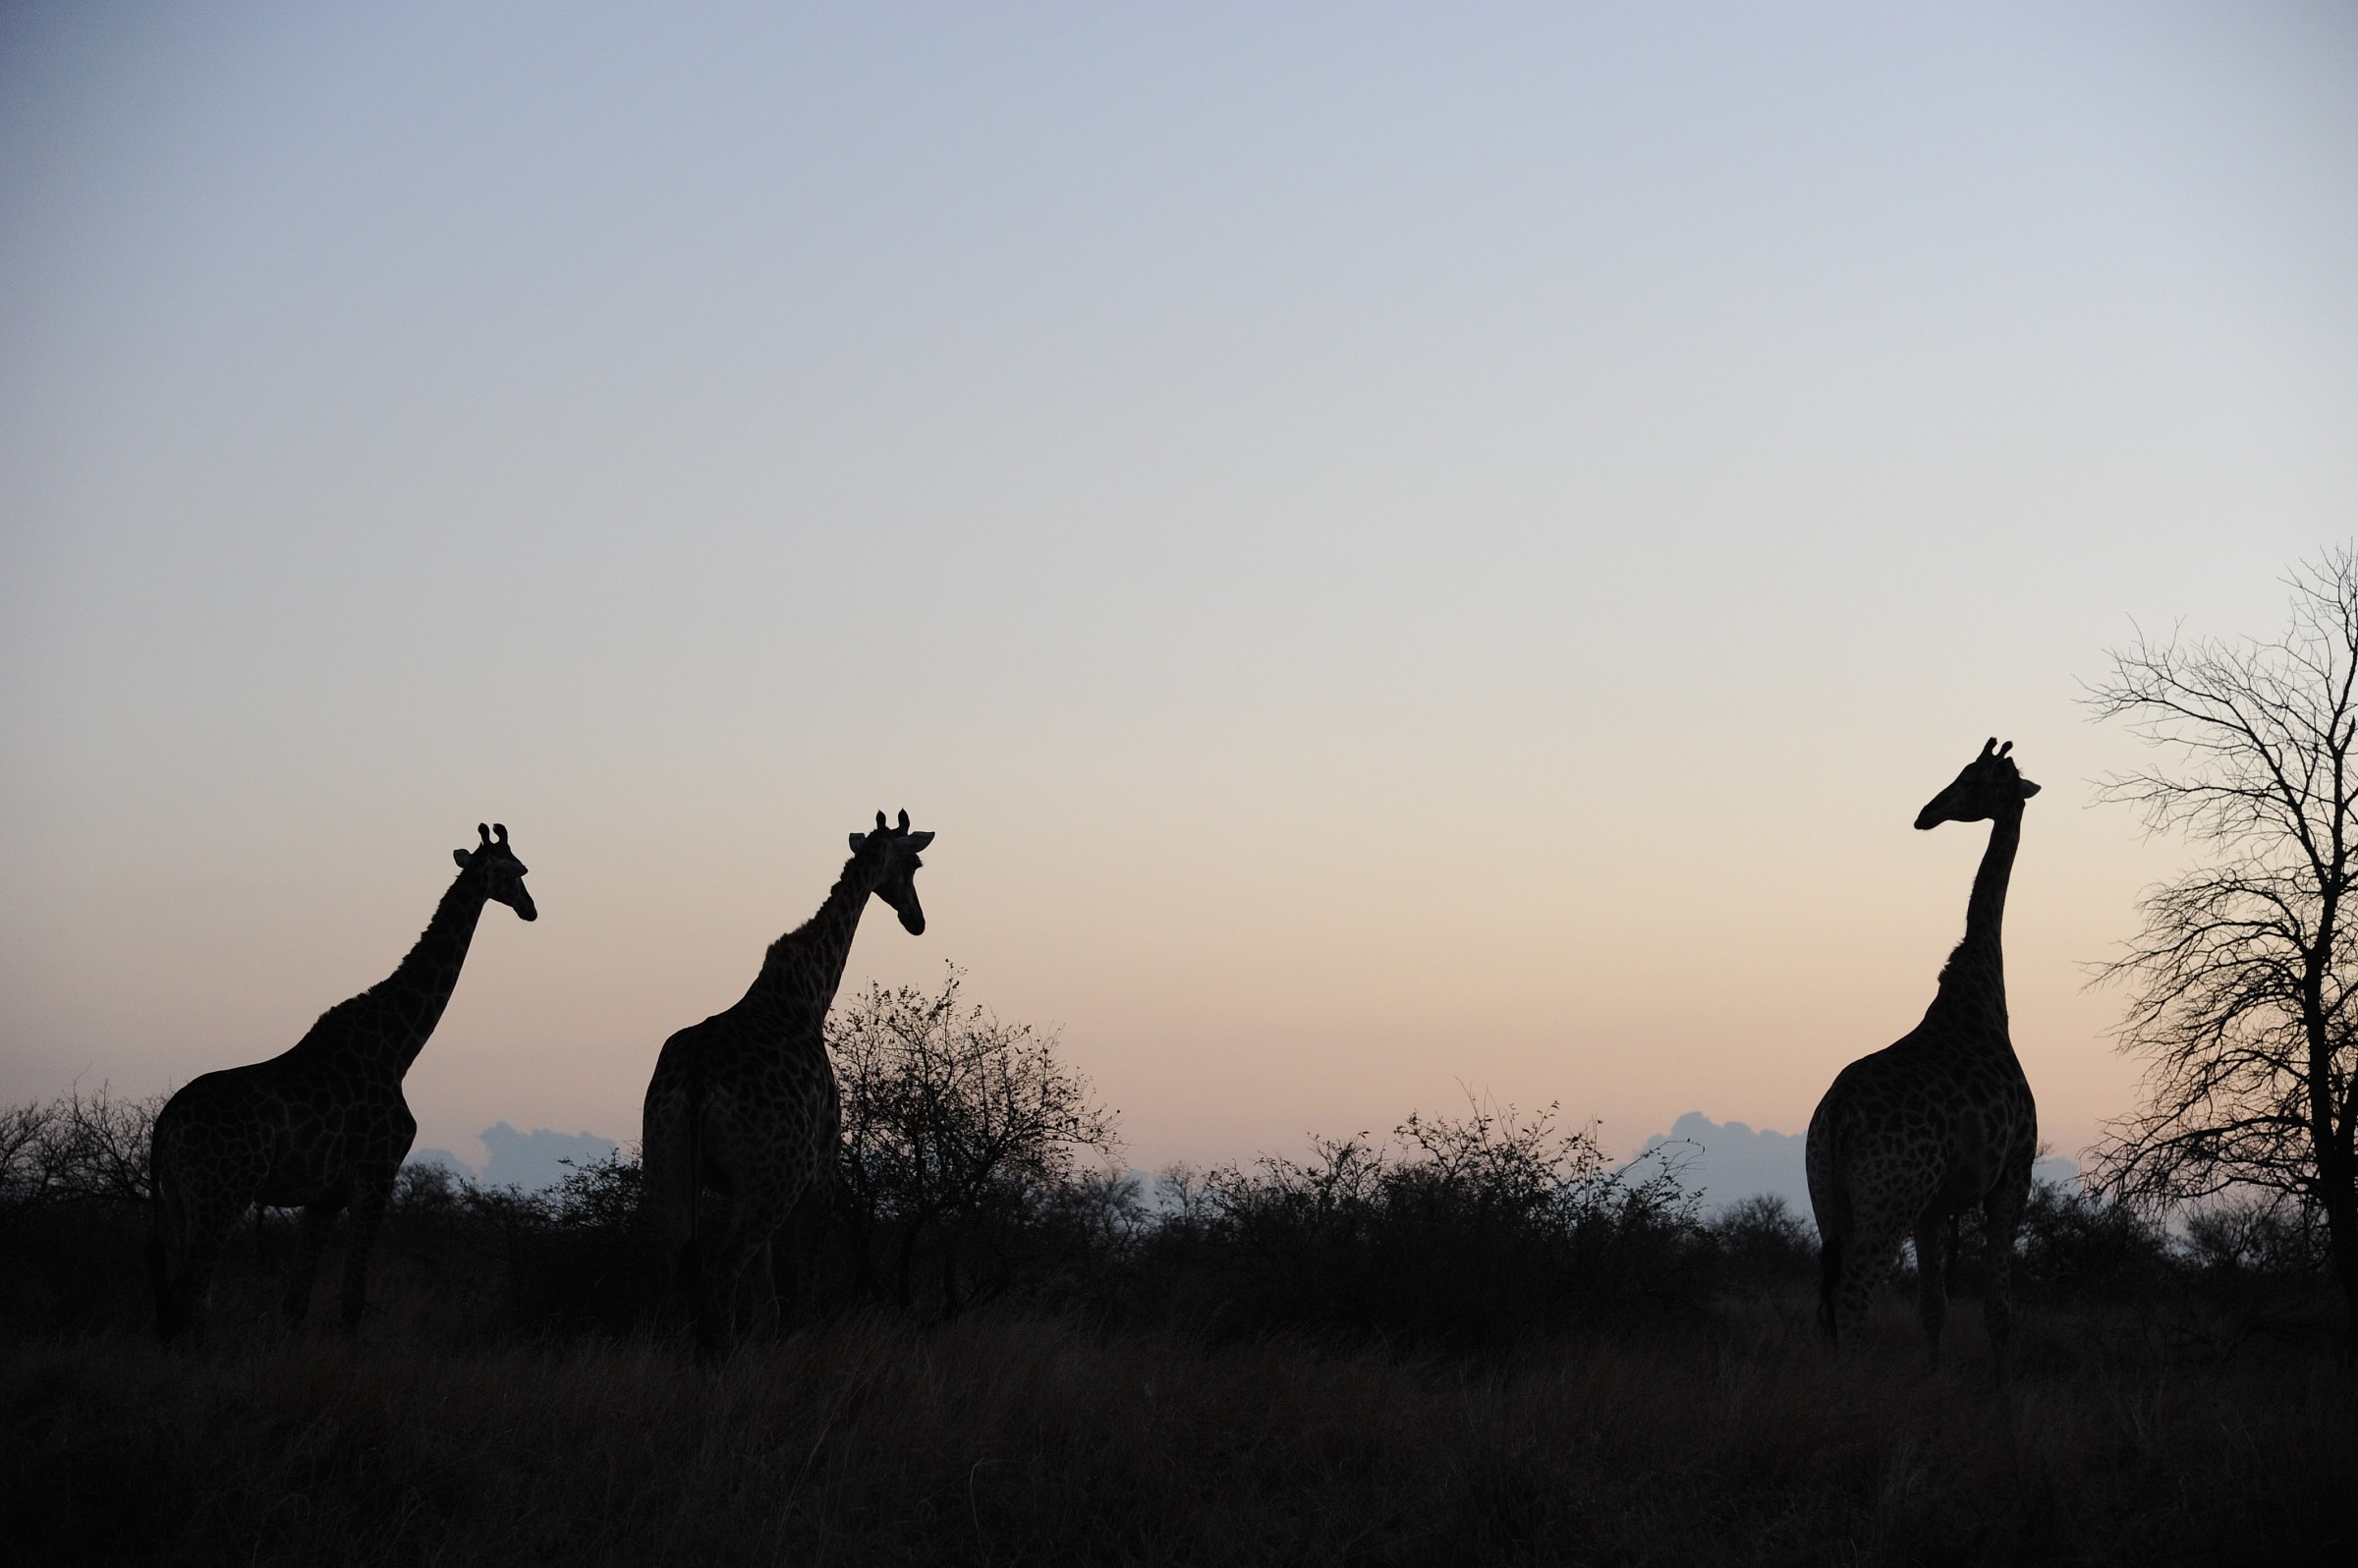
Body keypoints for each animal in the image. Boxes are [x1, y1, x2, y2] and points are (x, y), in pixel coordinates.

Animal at [148, 823, 537, 1340]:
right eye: (520, 869)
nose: (531, 908)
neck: (398, 1048)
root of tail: (165, 1123)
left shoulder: (324, 1197)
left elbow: (295, 1305)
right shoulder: (376, 1177)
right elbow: (351, 1302)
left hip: (180, 1201)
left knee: (183, 1300)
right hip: (222, 1193)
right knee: (189, 1297)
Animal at [641, 809, 933, 1353]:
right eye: (915, 864)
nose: (917, 920)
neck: (810, 993)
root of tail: (696, 1080)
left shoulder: (739, 1184)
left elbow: (769, 1299)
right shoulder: (823, 1164)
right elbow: (804, 1289)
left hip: (668, 1167)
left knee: (679, 1274)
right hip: (777, 1176)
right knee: (721, 1270)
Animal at [1806, 739, 2040, 1374]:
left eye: (1976, 779)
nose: (1926, 814)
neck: (1984, 994)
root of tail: (1836, 1116)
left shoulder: (1936, 1207)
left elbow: (1934, 1307)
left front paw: (1935, 1380)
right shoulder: (2013, 1173)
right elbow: (1999, 1308)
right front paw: (2004, 1382)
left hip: (1829, 1197)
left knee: (1826, 1298)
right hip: (1889, 1197)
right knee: (1853, 1294)